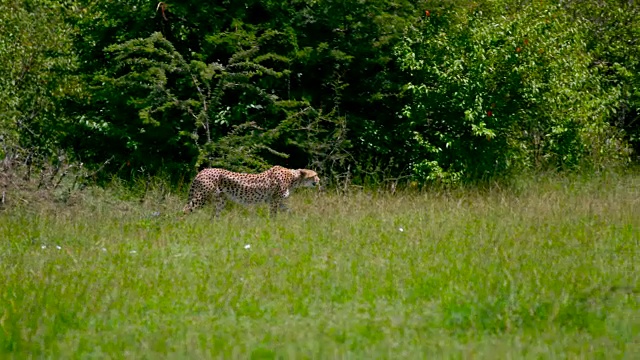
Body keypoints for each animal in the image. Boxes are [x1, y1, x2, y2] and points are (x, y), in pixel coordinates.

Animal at [181, 166, 318, 217]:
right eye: (314, 175)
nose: (319, 180)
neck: (294, 178)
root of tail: (203, 170)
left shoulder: (278, 201)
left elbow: (289, 211)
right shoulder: (274, 201)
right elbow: (273, 215)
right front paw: (273, 226)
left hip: (220, 200)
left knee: (215, 216)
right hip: (201, 197)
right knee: (186, 209)